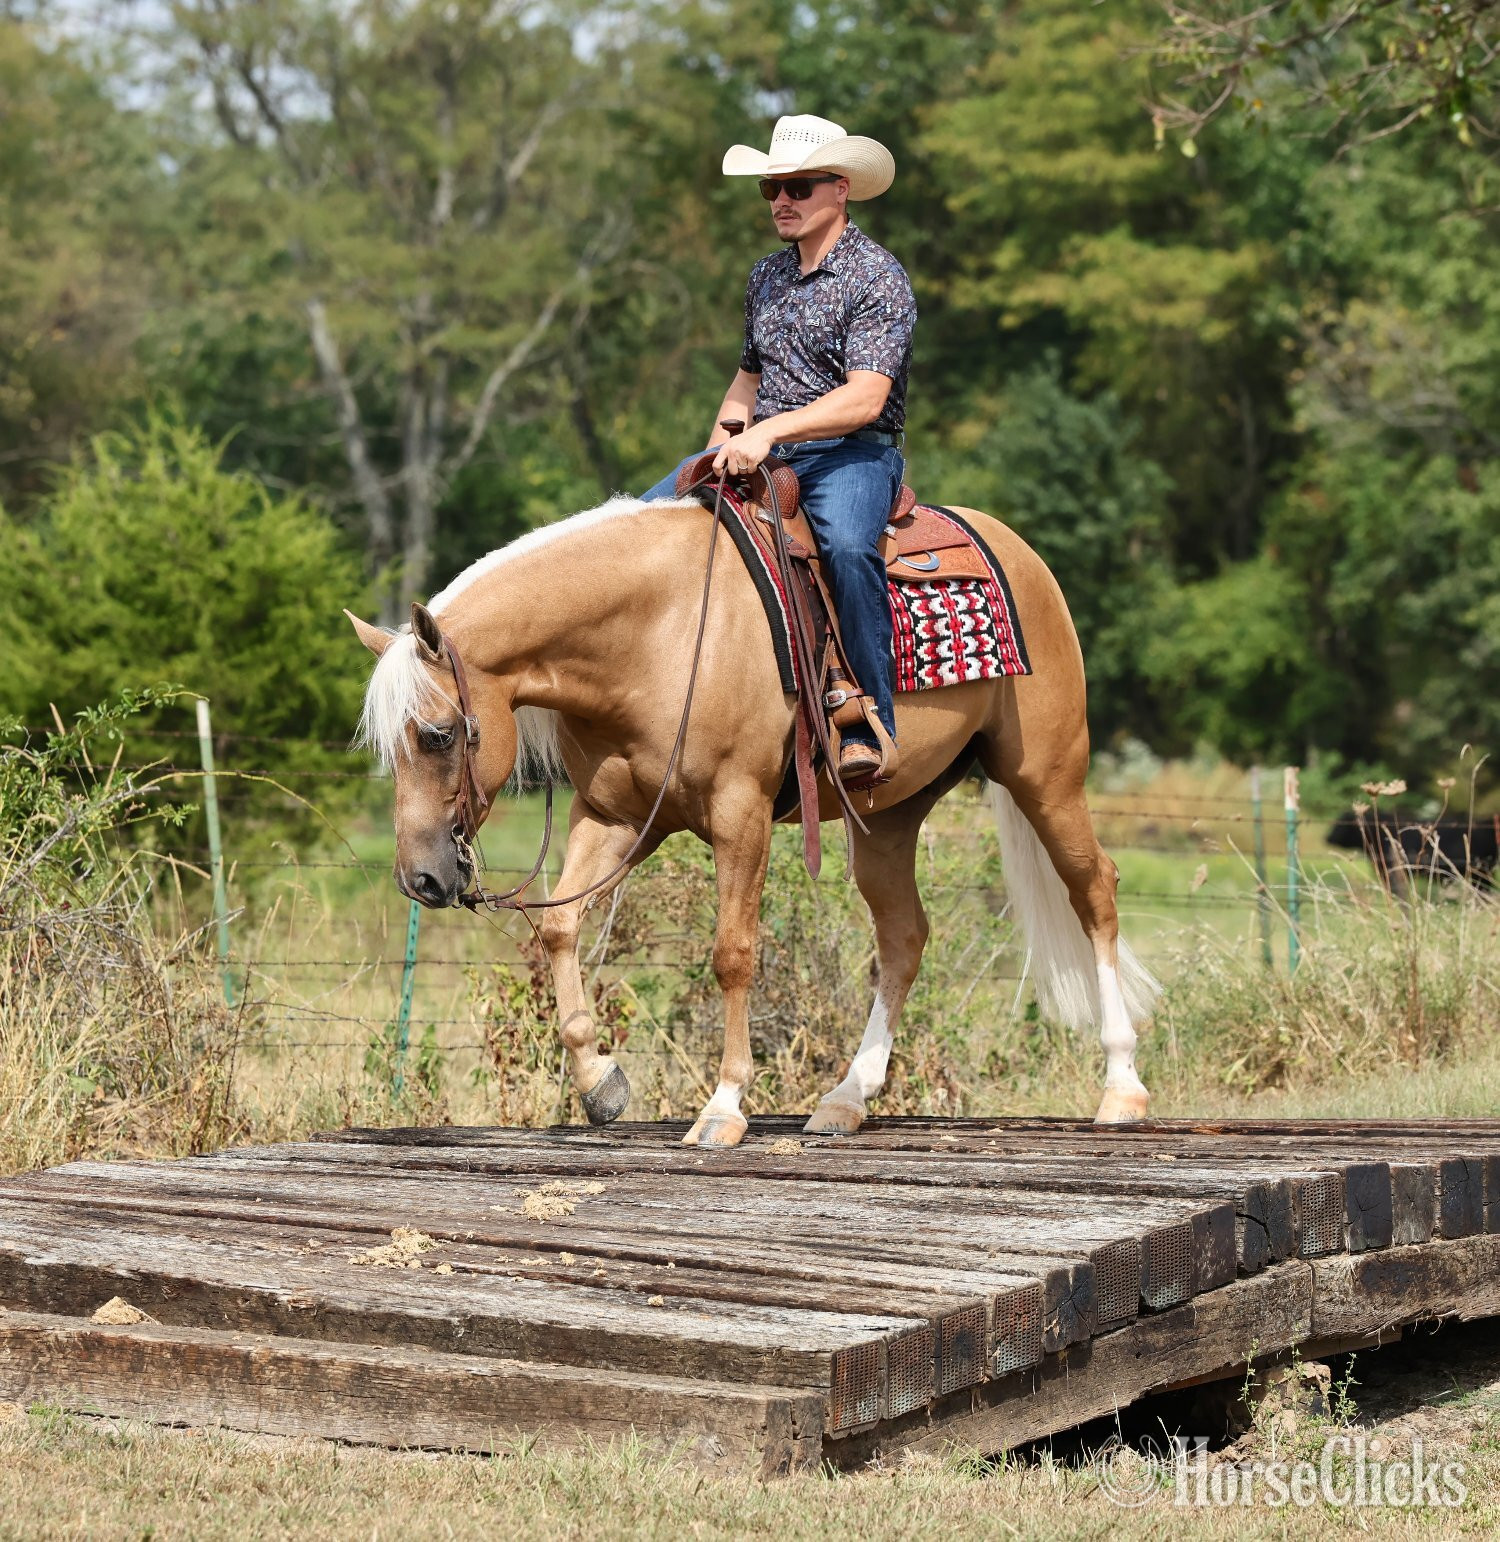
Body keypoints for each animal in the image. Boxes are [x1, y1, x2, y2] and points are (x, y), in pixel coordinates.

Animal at [347, 492, 1160, 1146]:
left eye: (438, 735)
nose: (421, 879)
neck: (657, 631)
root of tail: (1016, 549)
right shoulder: (613, 816)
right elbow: (559, 928)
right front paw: (599, 1082)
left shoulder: (741, 813)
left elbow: (733, 953)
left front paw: (723, 1106)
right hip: (891, 816)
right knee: (903, 938)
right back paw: (845, 1099)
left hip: (1047, 776)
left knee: (1095, 889)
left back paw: (1120, 1086)